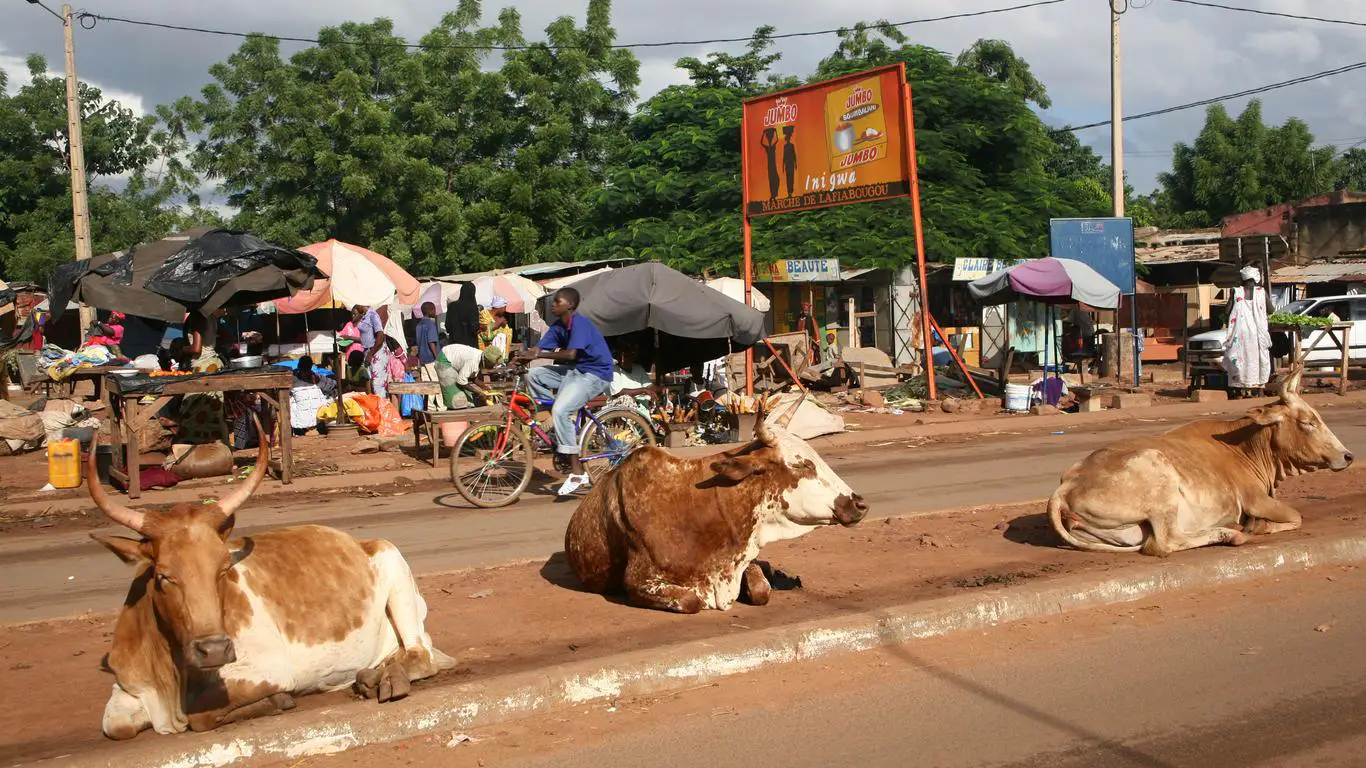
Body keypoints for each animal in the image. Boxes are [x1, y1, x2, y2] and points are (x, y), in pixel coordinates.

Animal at [88, 418, 456, 737]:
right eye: (164, 576)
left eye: (224, 568)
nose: (215, 650)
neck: (171, 676)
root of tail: (359, 542)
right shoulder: (128, 686)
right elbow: (115, 725)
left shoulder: (267, 669)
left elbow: (201, 716)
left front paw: (277, 701)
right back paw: (373, 675)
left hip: (395, 569)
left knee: (419, 655)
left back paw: (383, 680)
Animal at [1049, 366, 1349, 554]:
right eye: (1307, 422)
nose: (1348, 455)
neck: (1245, 447)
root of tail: (1067, 484)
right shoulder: (1256, 500)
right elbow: (1296, 517)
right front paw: (1261, 526)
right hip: (1159, 478)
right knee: (1165, 543)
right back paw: (1231, 533)